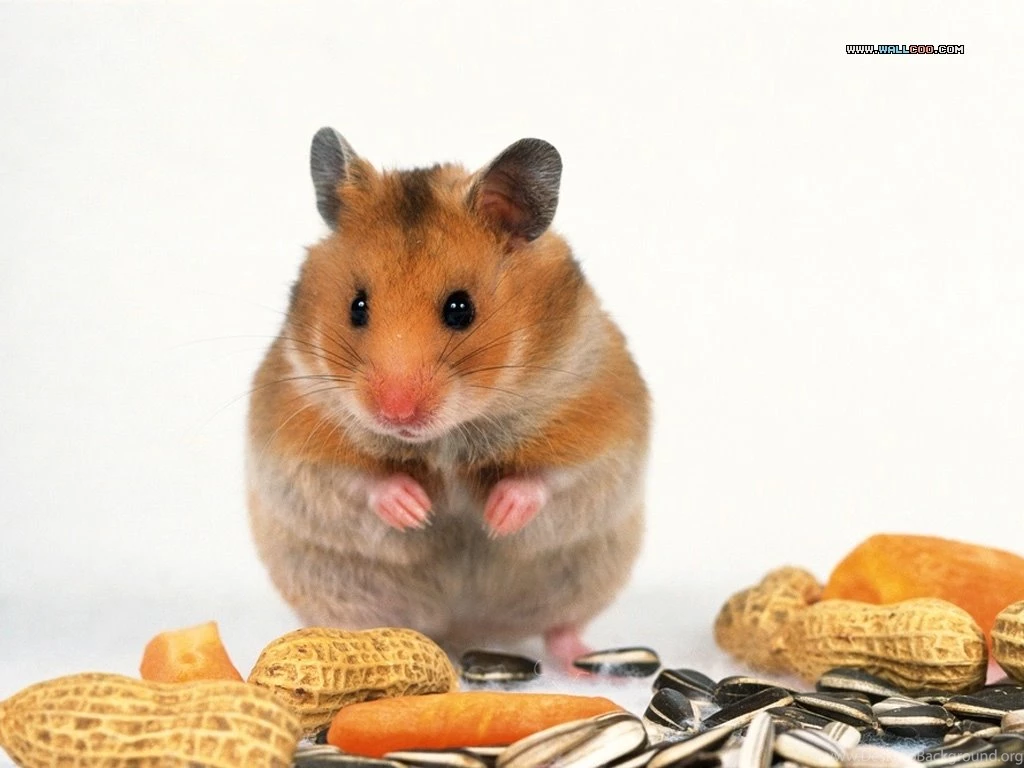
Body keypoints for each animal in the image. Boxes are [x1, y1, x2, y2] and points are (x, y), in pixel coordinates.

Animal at [246, 128, 651, 667]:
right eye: (357, 306)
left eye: (460, 308)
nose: (395, 413)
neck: (447, 437)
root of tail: (461, 631)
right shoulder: (297, 438)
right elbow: (355, 478)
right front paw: (416, 510)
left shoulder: (600, 424)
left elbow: (550, 478)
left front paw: (497, 519)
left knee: (560, 628)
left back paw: (588, 665)